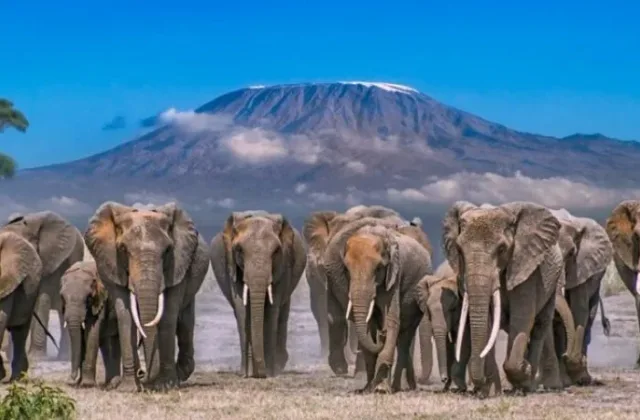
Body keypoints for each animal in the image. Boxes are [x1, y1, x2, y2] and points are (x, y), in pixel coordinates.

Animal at [84, 201, 210, 391]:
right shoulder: (111, 265)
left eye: (168, 250)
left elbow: (168, 315)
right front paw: (129, 388)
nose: (142, 373)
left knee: (185, 322)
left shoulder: (178, 263)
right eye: (122, 249)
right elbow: (126, 315)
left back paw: (180, 374)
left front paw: (165, 386)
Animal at [210, 210, 307, 378]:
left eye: (276, 251)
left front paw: (269, 373)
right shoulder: (232, 265)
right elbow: (241, 309)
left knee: (282, 313)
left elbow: (272, 312)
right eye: (239, 250)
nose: (259, 373)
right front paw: (246, 374)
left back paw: (279, 364)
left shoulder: (283, 264)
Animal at [322, 217, 432, 393]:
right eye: (346, 270)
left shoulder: (394, 275)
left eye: (379, 269)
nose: (382, 334)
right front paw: (367, 389)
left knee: (404, 337)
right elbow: (368, 325)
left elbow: (392, 319)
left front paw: (380, 389)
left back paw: (395, 387)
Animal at [443, 201, 565, 396]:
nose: (479, 384)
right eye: (459, 250)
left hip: (554, 281)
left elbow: (522, 317)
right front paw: (493, 392)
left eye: (501, 249)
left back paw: (528, 385)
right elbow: (488, 321)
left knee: (540, 325)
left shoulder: (526, 267)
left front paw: (523, 372)